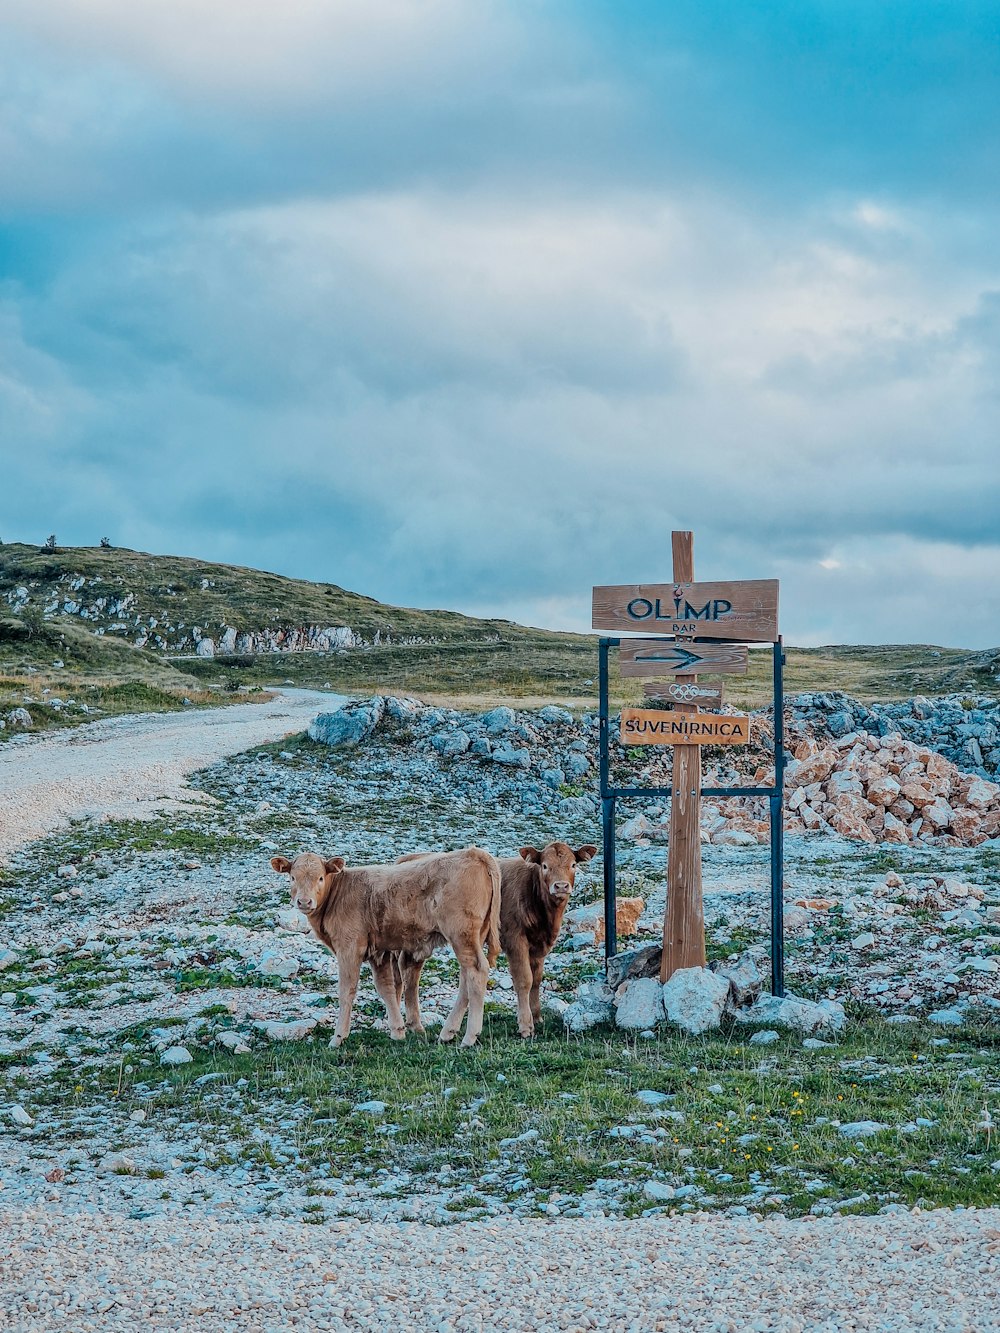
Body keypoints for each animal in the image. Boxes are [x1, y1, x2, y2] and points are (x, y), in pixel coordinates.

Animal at [270, 847, 501, 1045]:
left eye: (320, 877)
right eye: (292, 877)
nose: (304, 902)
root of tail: (473, 853)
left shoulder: (349, 947)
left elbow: (346, 990)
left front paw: (338, 1037)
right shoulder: (378, 952)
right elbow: (386, 988)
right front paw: (397, 1031)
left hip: (461, 932)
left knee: (476, 971)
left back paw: (469, 1037)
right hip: (472, 936)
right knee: (466, 977)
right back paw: (448, 1032)